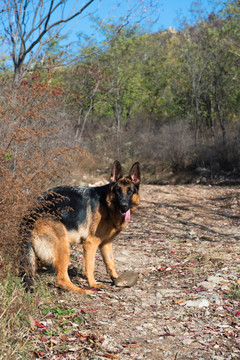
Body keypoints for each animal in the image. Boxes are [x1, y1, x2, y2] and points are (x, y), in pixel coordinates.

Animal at [20, 162, 141, 294]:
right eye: (118, 191)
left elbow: (111, 263)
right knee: (61, 279)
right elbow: (90, 266)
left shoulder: (106, 244)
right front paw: (93, 283)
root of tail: (29, 216)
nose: (124, 206)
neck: (106, 204)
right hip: (63, 247)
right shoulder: (91, 243)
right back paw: (83, 290)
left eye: (130, 191)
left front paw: (117, 279)